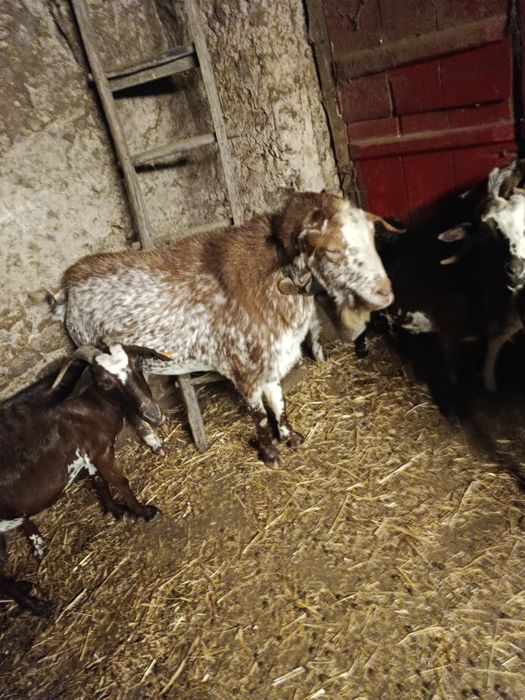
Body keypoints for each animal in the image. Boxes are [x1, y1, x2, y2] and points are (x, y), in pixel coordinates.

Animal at [0, 343, 169, 616]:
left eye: (137, 363)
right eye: (104, 381)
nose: (153, 414)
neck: (86, 404)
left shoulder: (88, 451)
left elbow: (98, 478)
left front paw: (115, 510)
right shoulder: (100, 449)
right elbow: (120, 481)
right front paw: (144, 512)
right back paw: (38, 606)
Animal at [53, 192, 401, 463]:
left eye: (372, 238)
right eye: (332, 250)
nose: (385, 293)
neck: (271, 278)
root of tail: (67, 289)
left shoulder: (270, 359)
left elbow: (278, 402)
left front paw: (291, 436)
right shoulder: (242, 368)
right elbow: (259, 416)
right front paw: (269, 454)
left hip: (139, 365)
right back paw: (155, 443)